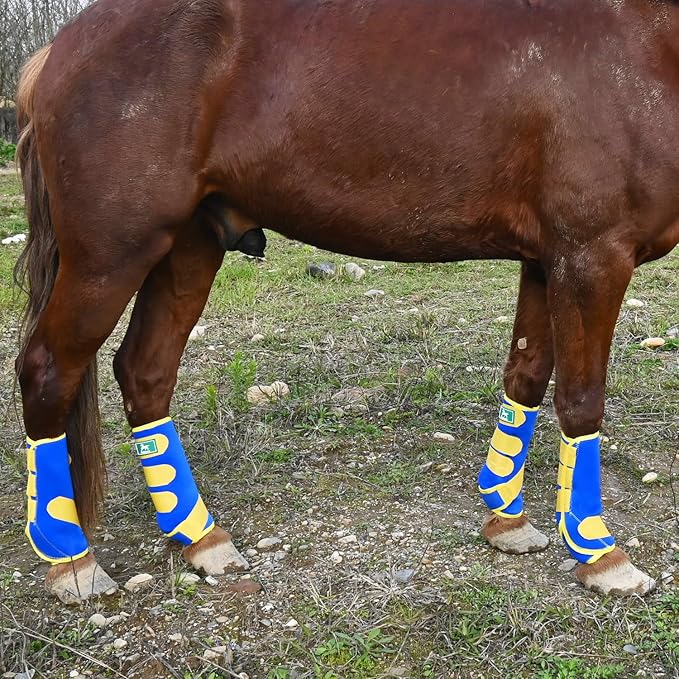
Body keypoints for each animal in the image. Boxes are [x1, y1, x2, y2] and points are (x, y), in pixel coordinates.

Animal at [13, 0, 679, 603]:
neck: (642, 38)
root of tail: (58, 51)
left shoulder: (547, 260)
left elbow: (527, 379)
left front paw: (507, 522)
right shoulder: (591, 256)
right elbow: (581, 402)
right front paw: (600, 555)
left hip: (189, 245)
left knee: (145, 372)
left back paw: (200, 538)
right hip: (111, 255)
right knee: (48, 369)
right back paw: (73, 562)